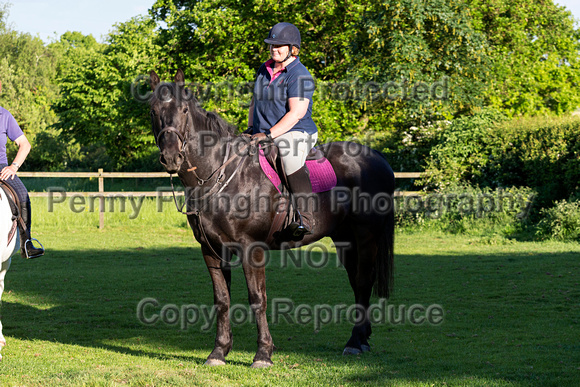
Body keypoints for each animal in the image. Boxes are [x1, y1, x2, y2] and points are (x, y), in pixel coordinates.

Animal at [148, 70, 394, 370]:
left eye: (184, 110)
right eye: (154, 111)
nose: (172, 157)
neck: (221, 175)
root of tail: (377, 157)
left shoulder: (250, 248)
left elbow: (257, 298)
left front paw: (263, 354)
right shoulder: (211, 250)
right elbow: (222, 299)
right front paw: (218, 352)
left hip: (366, 237)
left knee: (363, 281)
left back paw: (355, 342)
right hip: (345, 239)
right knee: (357, 283)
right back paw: (361, 339)